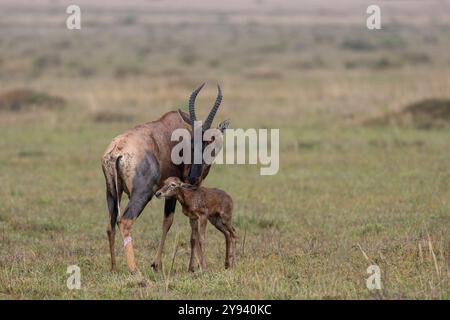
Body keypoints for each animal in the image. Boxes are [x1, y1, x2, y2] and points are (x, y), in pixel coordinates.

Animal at [101, 84, 229, 274]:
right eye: (192, 143)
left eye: (209, 142)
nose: (193, 177)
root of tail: (117, 150)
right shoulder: (174, 191)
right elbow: (171, 222)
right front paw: (159, 264)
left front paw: (190, 266)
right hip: (142, 194)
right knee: (124, 221)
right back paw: (135, 270)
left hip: (111, 192)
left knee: (110, 226)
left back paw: (114, 268)